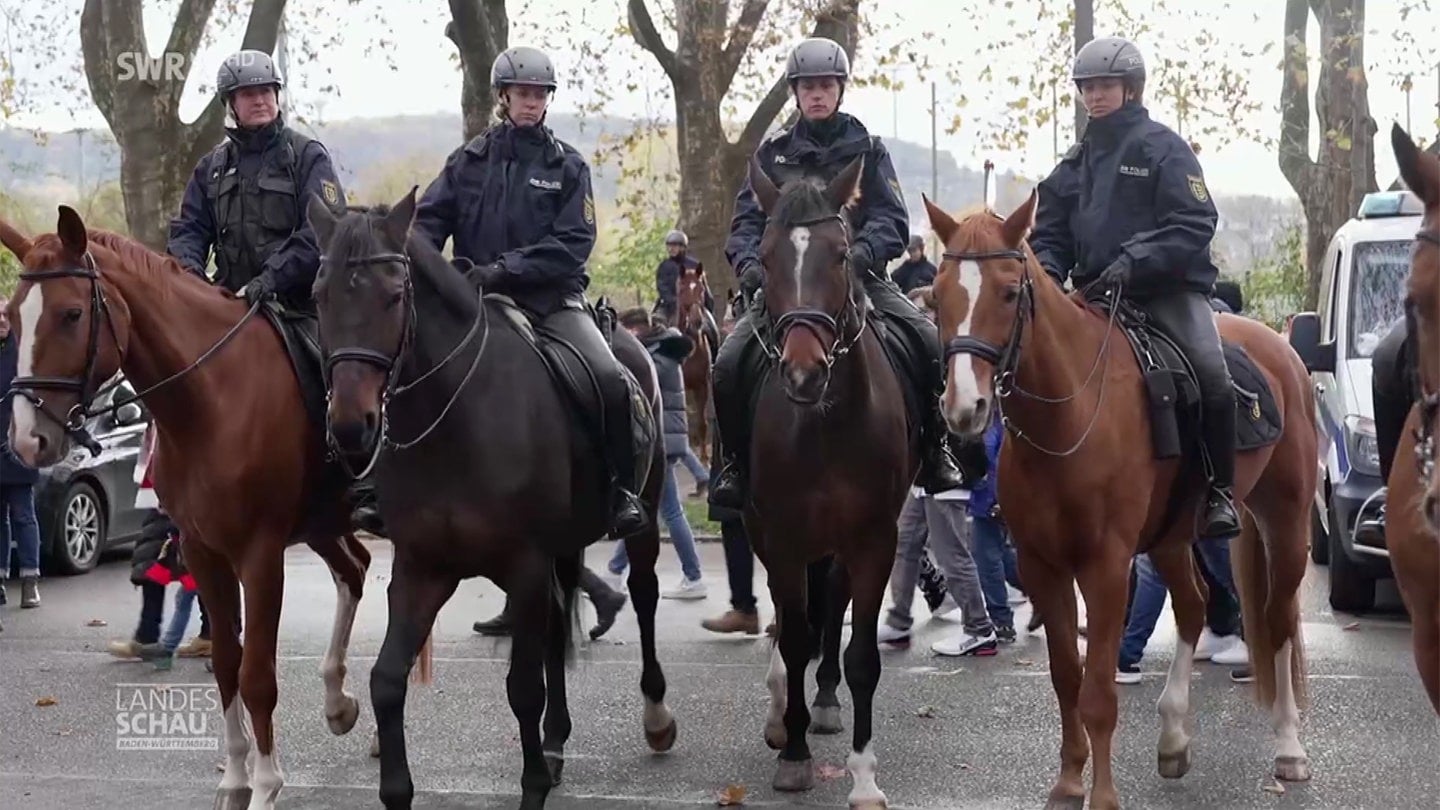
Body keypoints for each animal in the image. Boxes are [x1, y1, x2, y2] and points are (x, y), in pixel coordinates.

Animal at [1, 207, 371, 807]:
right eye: (12, 316)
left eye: (72, 314)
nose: (27, 440)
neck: (211, 400)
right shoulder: (203, 550)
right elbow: (225, 664)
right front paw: (236, 779)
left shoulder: (260, 556)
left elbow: (256, 674)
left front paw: (266, 786)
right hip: (321, 523)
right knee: (356, 570)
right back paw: (340, 704)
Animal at [305, 190, 673, 807]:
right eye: (319, 295)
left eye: (395, 294)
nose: (351, 427)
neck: (456, 418)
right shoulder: (423, 569)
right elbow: (386, 680)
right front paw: (397, 787)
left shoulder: (522, 565)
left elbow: (522, 689)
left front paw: (533, 786)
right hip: (561, 548)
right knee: (559, 622)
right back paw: (555, 742)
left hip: (640, 522)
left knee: (644, 599)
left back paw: (656, 717)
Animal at [743, 157, 910, 807]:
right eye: (764, 258)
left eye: (841, 255)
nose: (803, 373)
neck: (826, 423)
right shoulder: (784, 536)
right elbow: (792, 636)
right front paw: (792, 753)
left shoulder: (875, 540)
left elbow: (861, 652)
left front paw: (863, 778)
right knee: (787, 618)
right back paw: (781, 707)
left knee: (830, 602)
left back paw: (827, 700)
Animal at [927, 194, 1319, 807]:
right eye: (938, 294)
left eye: (1010, 292)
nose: (965, 407)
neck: (1071, 414)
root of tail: (1283, 350)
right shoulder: (1043, 567)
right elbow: (1067, 679)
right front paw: (1068, 782)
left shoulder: (1106, 567)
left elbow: (1099, 695)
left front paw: (1103, 795)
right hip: (1170, 536)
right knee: (1194, 604)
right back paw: (1174, 736)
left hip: (1286, 521)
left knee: (1276, 622)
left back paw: (1289, 747)